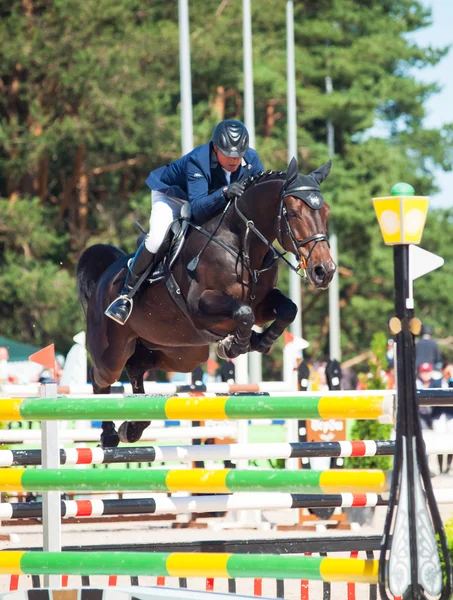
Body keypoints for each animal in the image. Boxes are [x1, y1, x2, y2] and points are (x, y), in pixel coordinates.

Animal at [76, 157, 334, 448]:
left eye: (326, 212)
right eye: (292, 213)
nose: (324, 271)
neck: (242, 244)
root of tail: (105, 276)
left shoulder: (261, 304)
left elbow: (288, 309)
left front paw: (261, 341)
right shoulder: (200, 305)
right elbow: (243, 312)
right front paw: (233, 345)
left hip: (180, 353)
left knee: (137, 368)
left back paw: (134, 427)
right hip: (112, 352)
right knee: (101, 380)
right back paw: (109, 435)